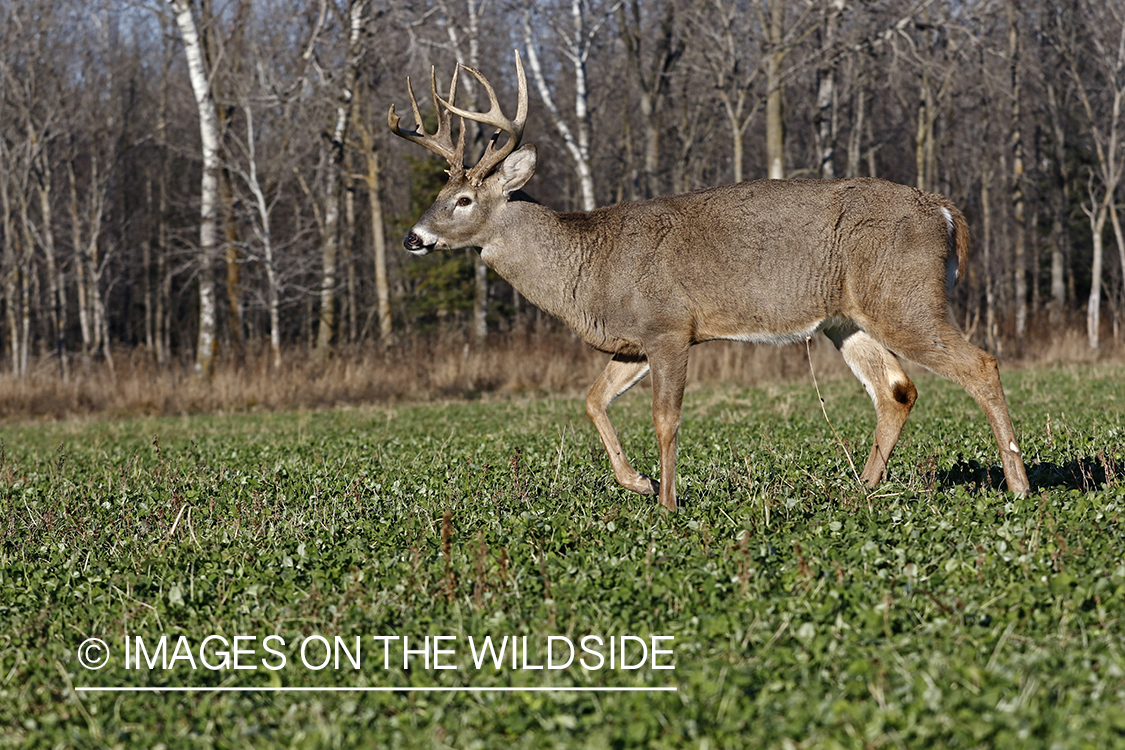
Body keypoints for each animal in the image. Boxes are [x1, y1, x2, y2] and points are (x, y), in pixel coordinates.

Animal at [391, 52, 1030, 510]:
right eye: (440, 191)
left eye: (463, 199)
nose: (412, 239)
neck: (588, 264)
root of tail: (945, 210)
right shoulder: (634, 340)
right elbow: (593, 400)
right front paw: (640, 484)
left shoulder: (671, 326)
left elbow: (665, 418)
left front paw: (668, 504)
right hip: (847, 320)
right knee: (896, 390)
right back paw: (860, 491)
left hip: (906, 298)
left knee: (980, 364)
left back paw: (1019, 484)